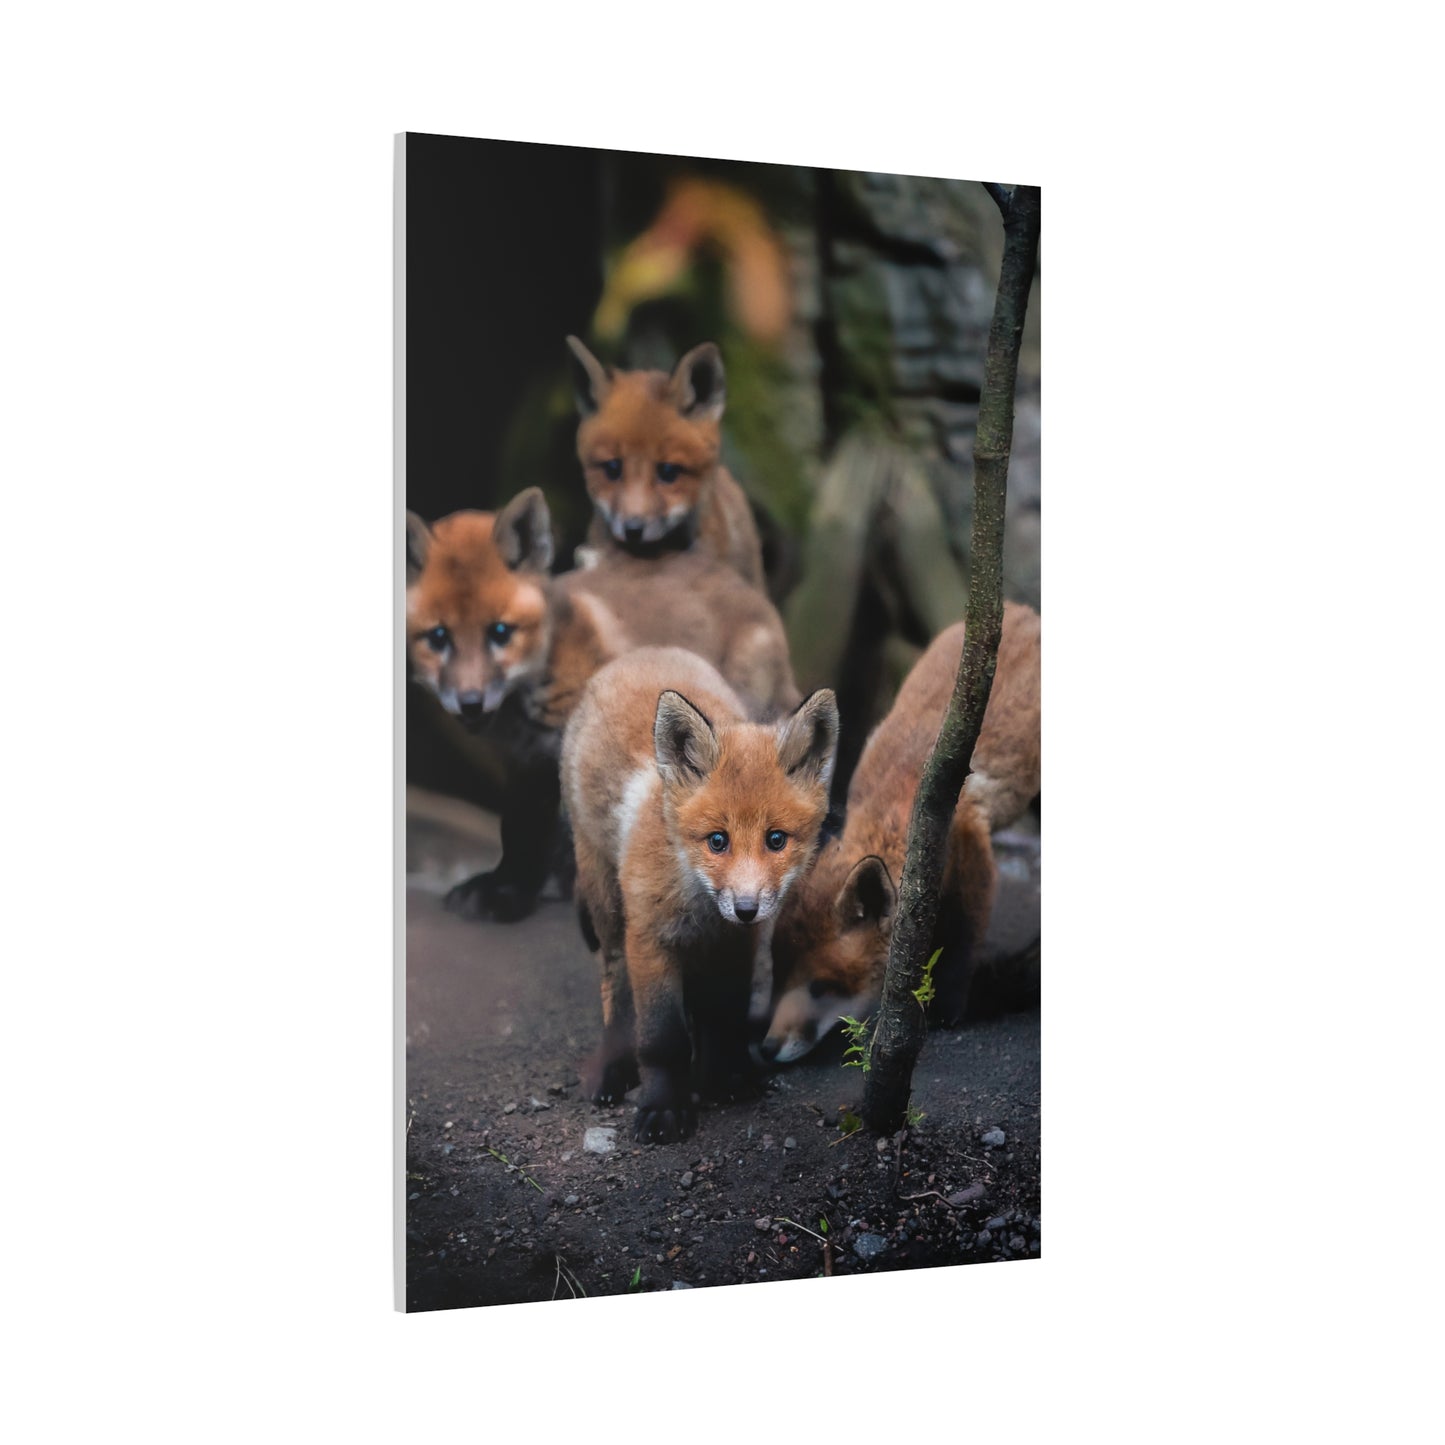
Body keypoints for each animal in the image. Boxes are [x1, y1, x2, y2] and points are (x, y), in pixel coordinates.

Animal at [405, 488, 800, 923]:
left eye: (500, 632)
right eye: (438, 637)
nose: (471, 703)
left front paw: (512, 894)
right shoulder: (526, 760)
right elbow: (518, 826)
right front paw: (508, 885)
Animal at [562, 646, 839, 1142]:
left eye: (776, 840)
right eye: (717, 841)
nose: (746, 908)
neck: (701, 908)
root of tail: (644, 652)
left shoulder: (735, 946)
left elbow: (723, 1017)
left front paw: (724, 1079)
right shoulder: (650, 939)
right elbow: (660, 1038)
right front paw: (662, 1107)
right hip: (607, 907)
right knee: (615, 987)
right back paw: (613, 1069)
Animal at [761, 602, 1042, 1064]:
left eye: (821, 987)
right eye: (780, 977)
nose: (767, 1048)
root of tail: (1021, 610)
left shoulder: (972, 851)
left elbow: (962, 941)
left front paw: (945, 1011)